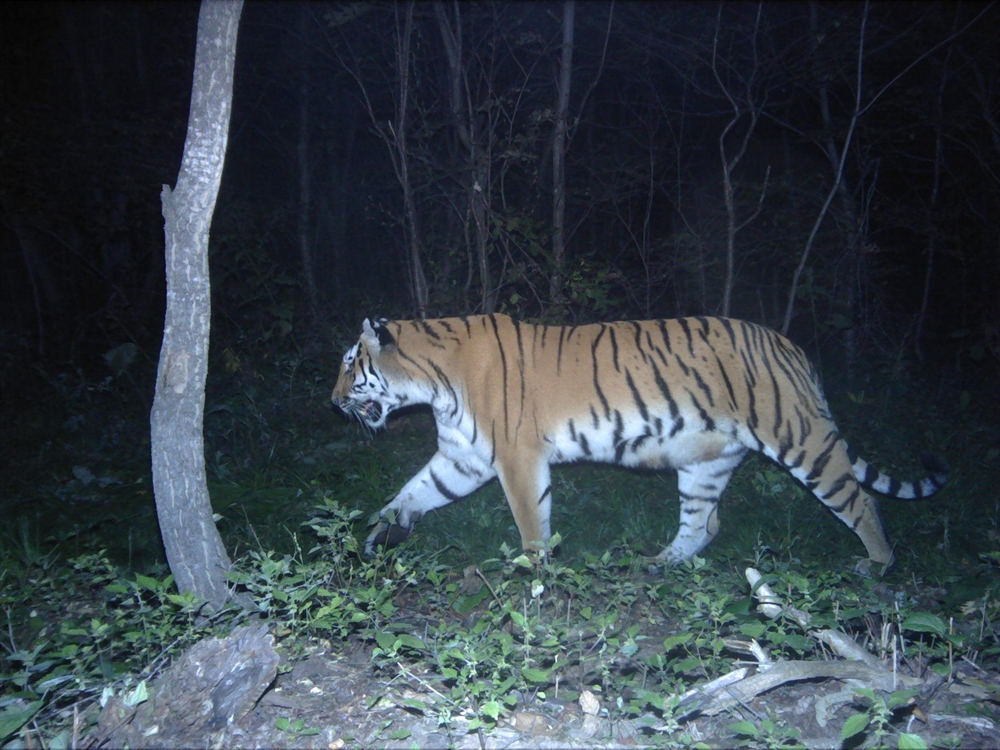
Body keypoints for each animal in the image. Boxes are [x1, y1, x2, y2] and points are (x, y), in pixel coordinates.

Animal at [332, 314, 948, 571]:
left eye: (349, 365)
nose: (333, 402)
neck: (433, 384)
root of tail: (791, 347)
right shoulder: (463, 457)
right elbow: (414, 491)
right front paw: (380, 532)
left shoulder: (515, 456)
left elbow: (531, 522)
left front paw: (532, 572)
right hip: (706, 462)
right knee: (704, 523)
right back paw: (659, 563)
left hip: (802, 440)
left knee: (860, 502)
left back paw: (877, 566)